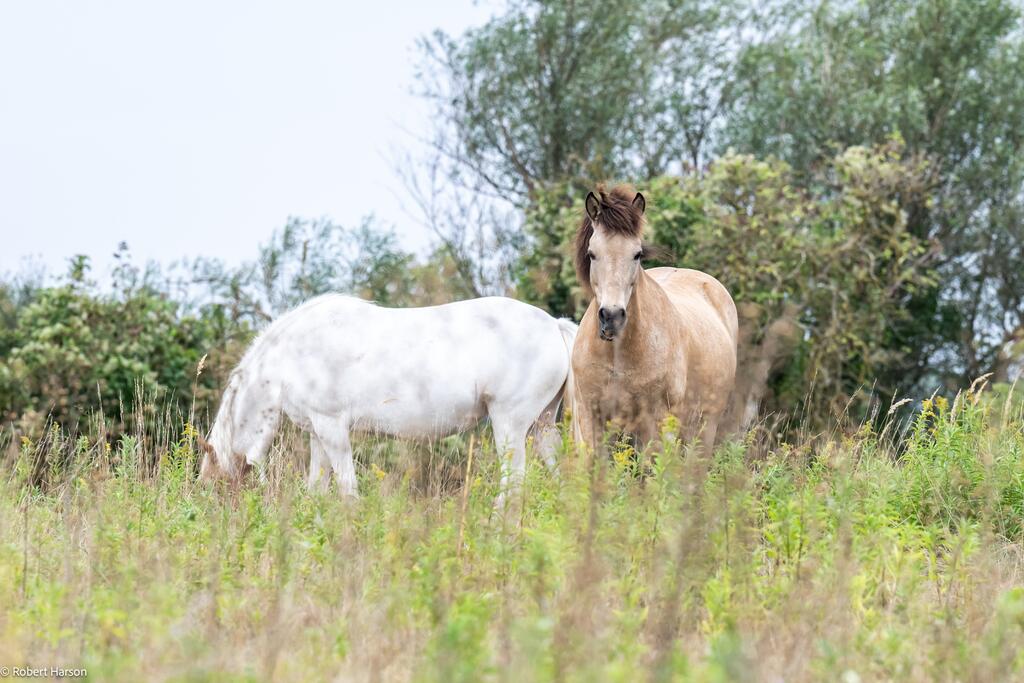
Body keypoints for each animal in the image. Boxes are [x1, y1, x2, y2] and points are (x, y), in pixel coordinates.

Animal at [198, 294, 577, 497]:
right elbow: (317, 488)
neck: (291, 355)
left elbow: (347, 489)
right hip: (542, 426)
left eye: (214, 486)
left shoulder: (333, 429)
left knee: (513, 484)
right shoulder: (318, 435)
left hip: (509, 425)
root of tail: (553, 325)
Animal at [569, 187, 737, 450]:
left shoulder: (655, 423)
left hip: (703, 428)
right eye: (592, 253)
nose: (612, 317)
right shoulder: (590, 417)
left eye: (636, 254)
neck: (617, 355)